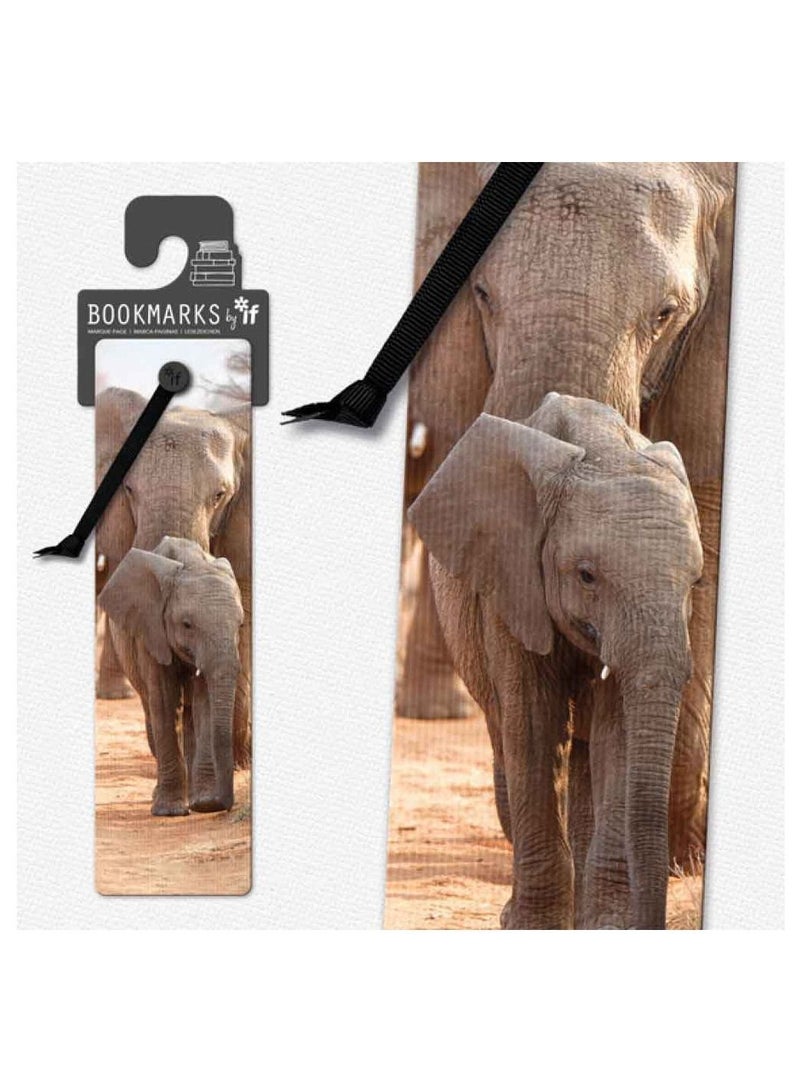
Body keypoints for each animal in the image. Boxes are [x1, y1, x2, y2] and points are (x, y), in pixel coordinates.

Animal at [99, 537, 244, 815]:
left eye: (240, 625)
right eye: (187, 625)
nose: (223, 804)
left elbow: (204, 703)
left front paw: (205, 804)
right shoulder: (150, 630)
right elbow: (165, 703)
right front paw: (170, 811)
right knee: (152, 707)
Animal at [409, 393, 704, 929]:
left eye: (696, 583)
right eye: (586, 576)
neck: (604, 453)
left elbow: (617, 731)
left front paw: (608, 925)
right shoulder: (510, 578)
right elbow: (533, 723)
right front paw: (533, 926)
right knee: (505, 735)